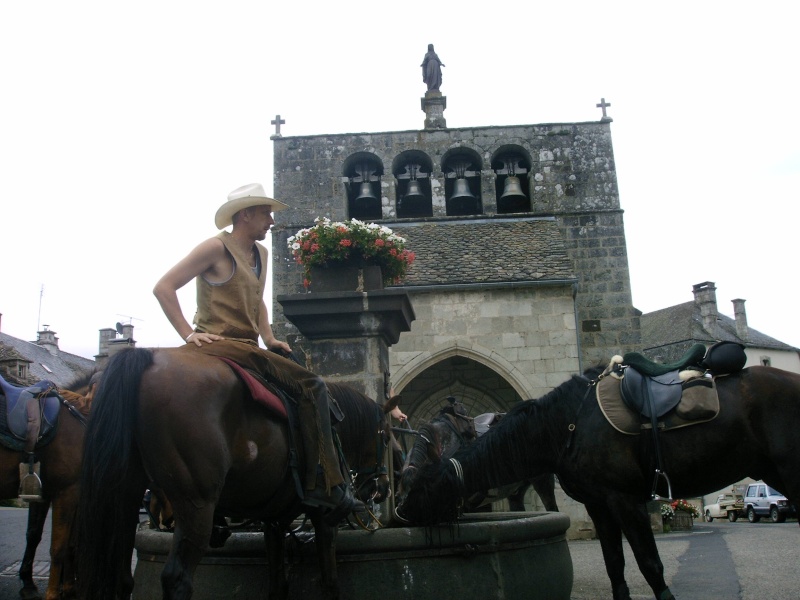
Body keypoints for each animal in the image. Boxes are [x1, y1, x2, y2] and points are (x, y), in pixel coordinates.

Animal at [0, 370, 95, 600]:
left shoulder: (44, 492)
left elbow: (35, 535)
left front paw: (30, 584)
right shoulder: (67, 490)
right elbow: (59, 545)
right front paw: (55, 592)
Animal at [76, 346, 396, 600]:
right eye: (387, 434)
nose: (382, 487)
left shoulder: (274, 520)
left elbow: (278, 584)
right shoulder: (323, 518)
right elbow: (330, 583)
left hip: (122, 498)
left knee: (119, 576)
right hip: (196, 502)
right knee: (176, 579)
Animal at [398, 366, 800, 600]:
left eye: (423, 491)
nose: (400, 516)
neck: (566, 425)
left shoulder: (625, 500)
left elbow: (650, 565)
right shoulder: (599, 504)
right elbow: (615, 565)